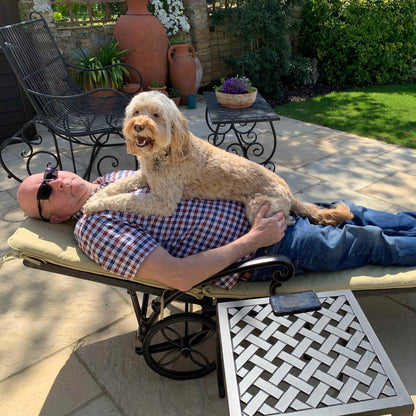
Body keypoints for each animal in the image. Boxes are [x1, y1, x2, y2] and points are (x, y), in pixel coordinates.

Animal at [83, 91, 353, 226]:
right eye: (137, 111)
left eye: (157, 115)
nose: (138, 125)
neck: (165, 154)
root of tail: (289, 193)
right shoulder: (144, 177)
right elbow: (118, 186)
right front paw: (94, 197)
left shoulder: (163, 202)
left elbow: (124, 199)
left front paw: (96, 204)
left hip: (260, 208)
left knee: (285, 222)